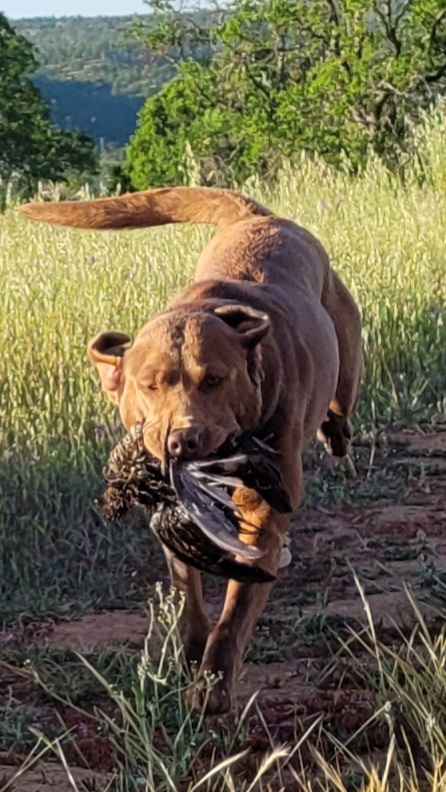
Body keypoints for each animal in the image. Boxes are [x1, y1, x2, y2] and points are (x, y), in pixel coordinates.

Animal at [18, 189, 362, 716]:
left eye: (215, 380)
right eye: (150, 384)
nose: (182, 441)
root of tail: (261, 218)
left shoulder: (262, 516)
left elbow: (235, 611)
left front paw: (213, 685)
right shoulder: (170, 513)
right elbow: (188, 592)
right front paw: (193, 649)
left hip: (346, 354)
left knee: (341, 406)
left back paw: (334, 433)